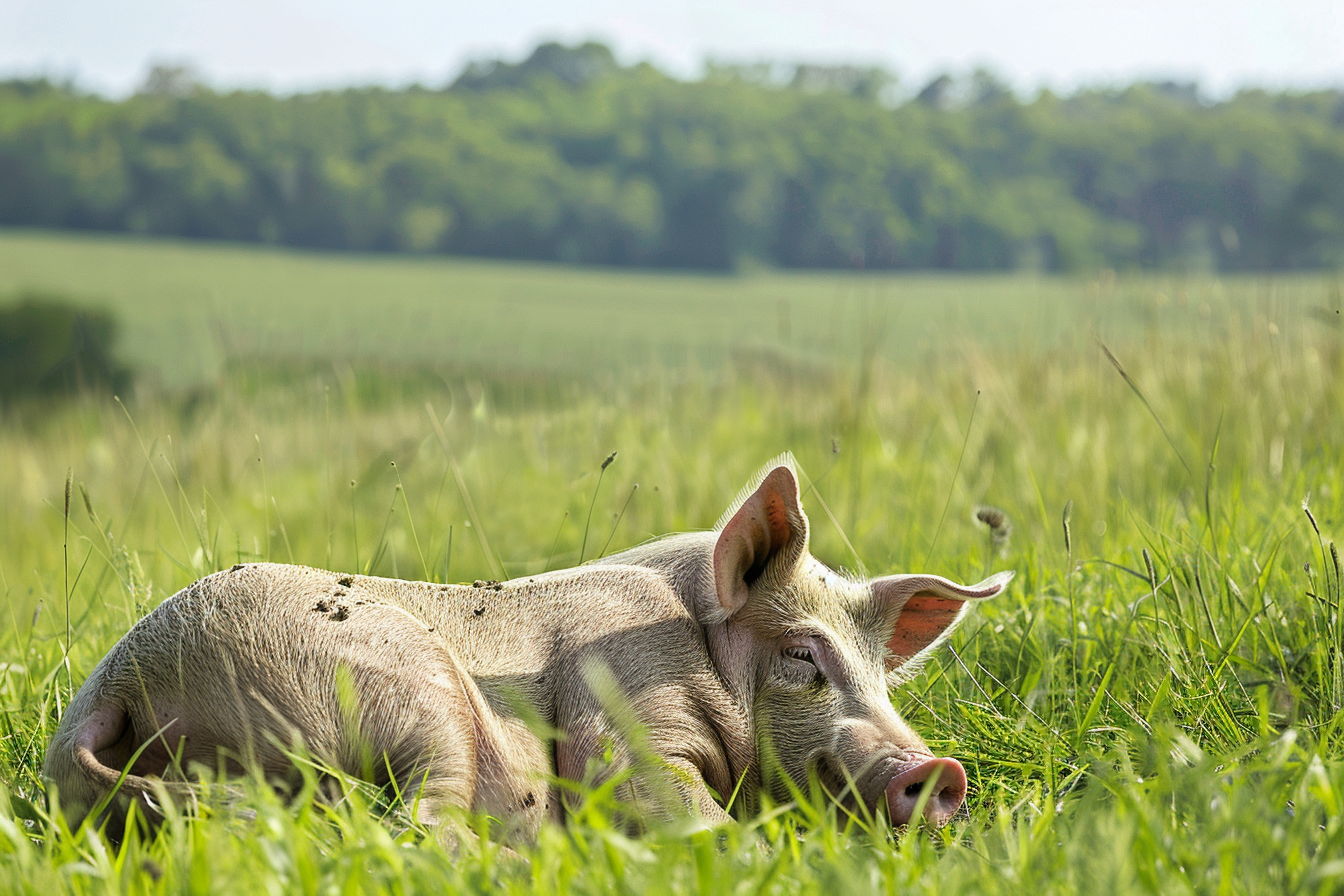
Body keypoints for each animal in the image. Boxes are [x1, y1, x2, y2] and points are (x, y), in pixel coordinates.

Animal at [45, 455, 1010, 845]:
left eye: (880, 673)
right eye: (804, 657)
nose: (939, 771)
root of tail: (124, 679)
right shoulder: (622, 711)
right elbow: (657, 795)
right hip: (398, 683)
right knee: (418, 826)